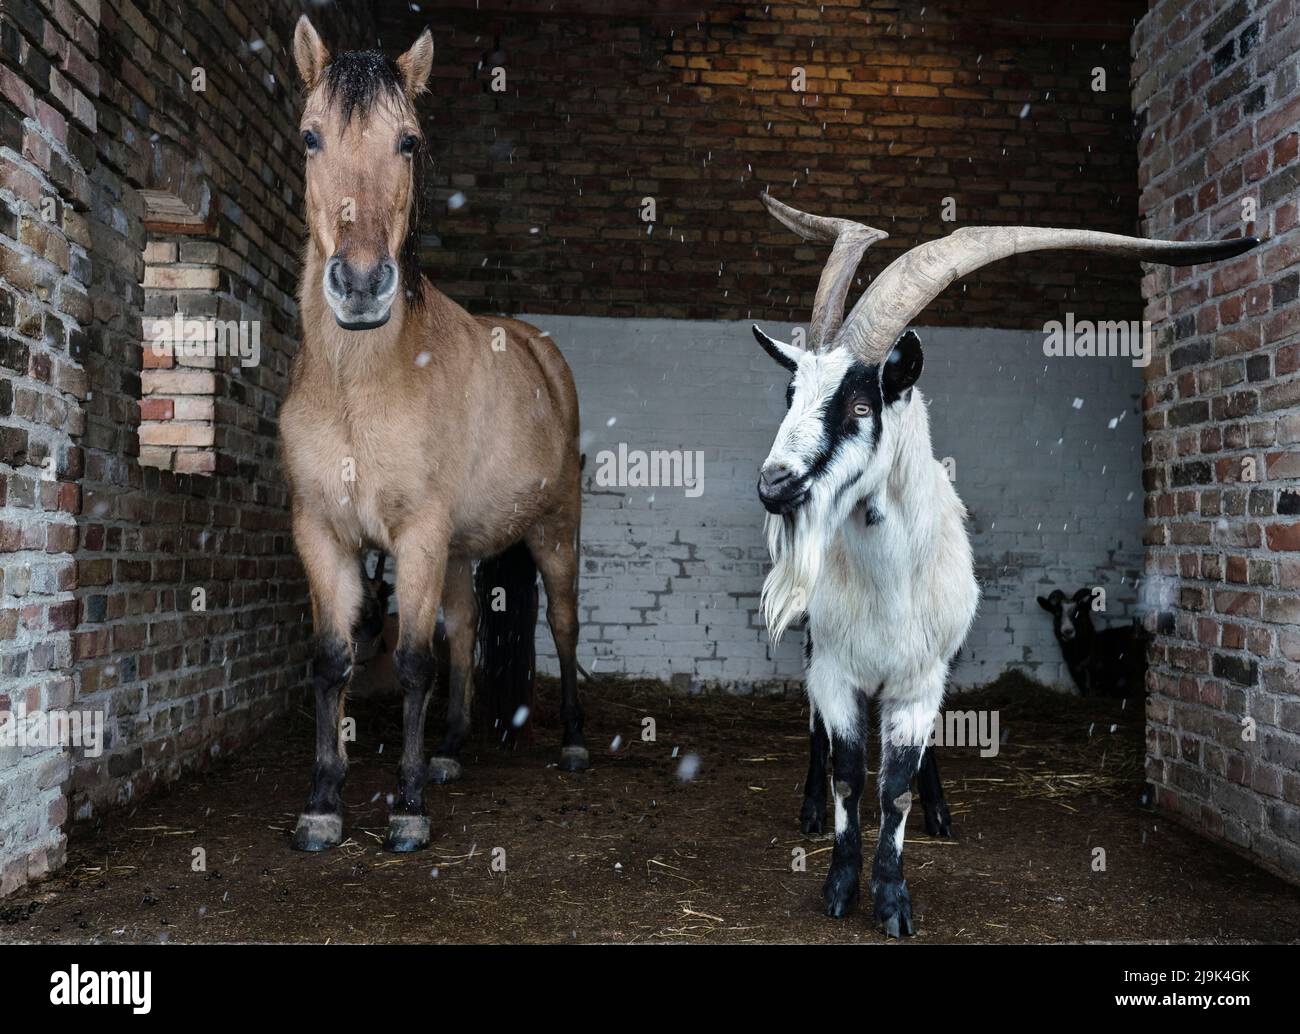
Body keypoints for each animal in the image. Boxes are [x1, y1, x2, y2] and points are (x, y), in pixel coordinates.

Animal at [279, 17, 588, 854]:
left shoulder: (416, 534)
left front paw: (408, 809)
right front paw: (322, 805)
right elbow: (332, 661)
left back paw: (575, 742)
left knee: (563, 625)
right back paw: (451, 749)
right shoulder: (323, 534)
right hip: (456, 552)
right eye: (311, 137)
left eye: (408, 141)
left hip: (554, 534)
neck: (358, 383)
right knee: (466, 627)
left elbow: (414, 663)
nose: (358, 286)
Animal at [750, 192, 1259, 935]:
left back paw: (940, 813)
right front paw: (840, 886)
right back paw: (813, 809)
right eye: (789, 396)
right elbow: (848, 769)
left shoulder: (922, 675)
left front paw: (894, 899)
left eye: (861, 404)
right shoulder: (835, 669)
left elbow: (895, 786)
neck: (885, 583)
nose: (775, 486)